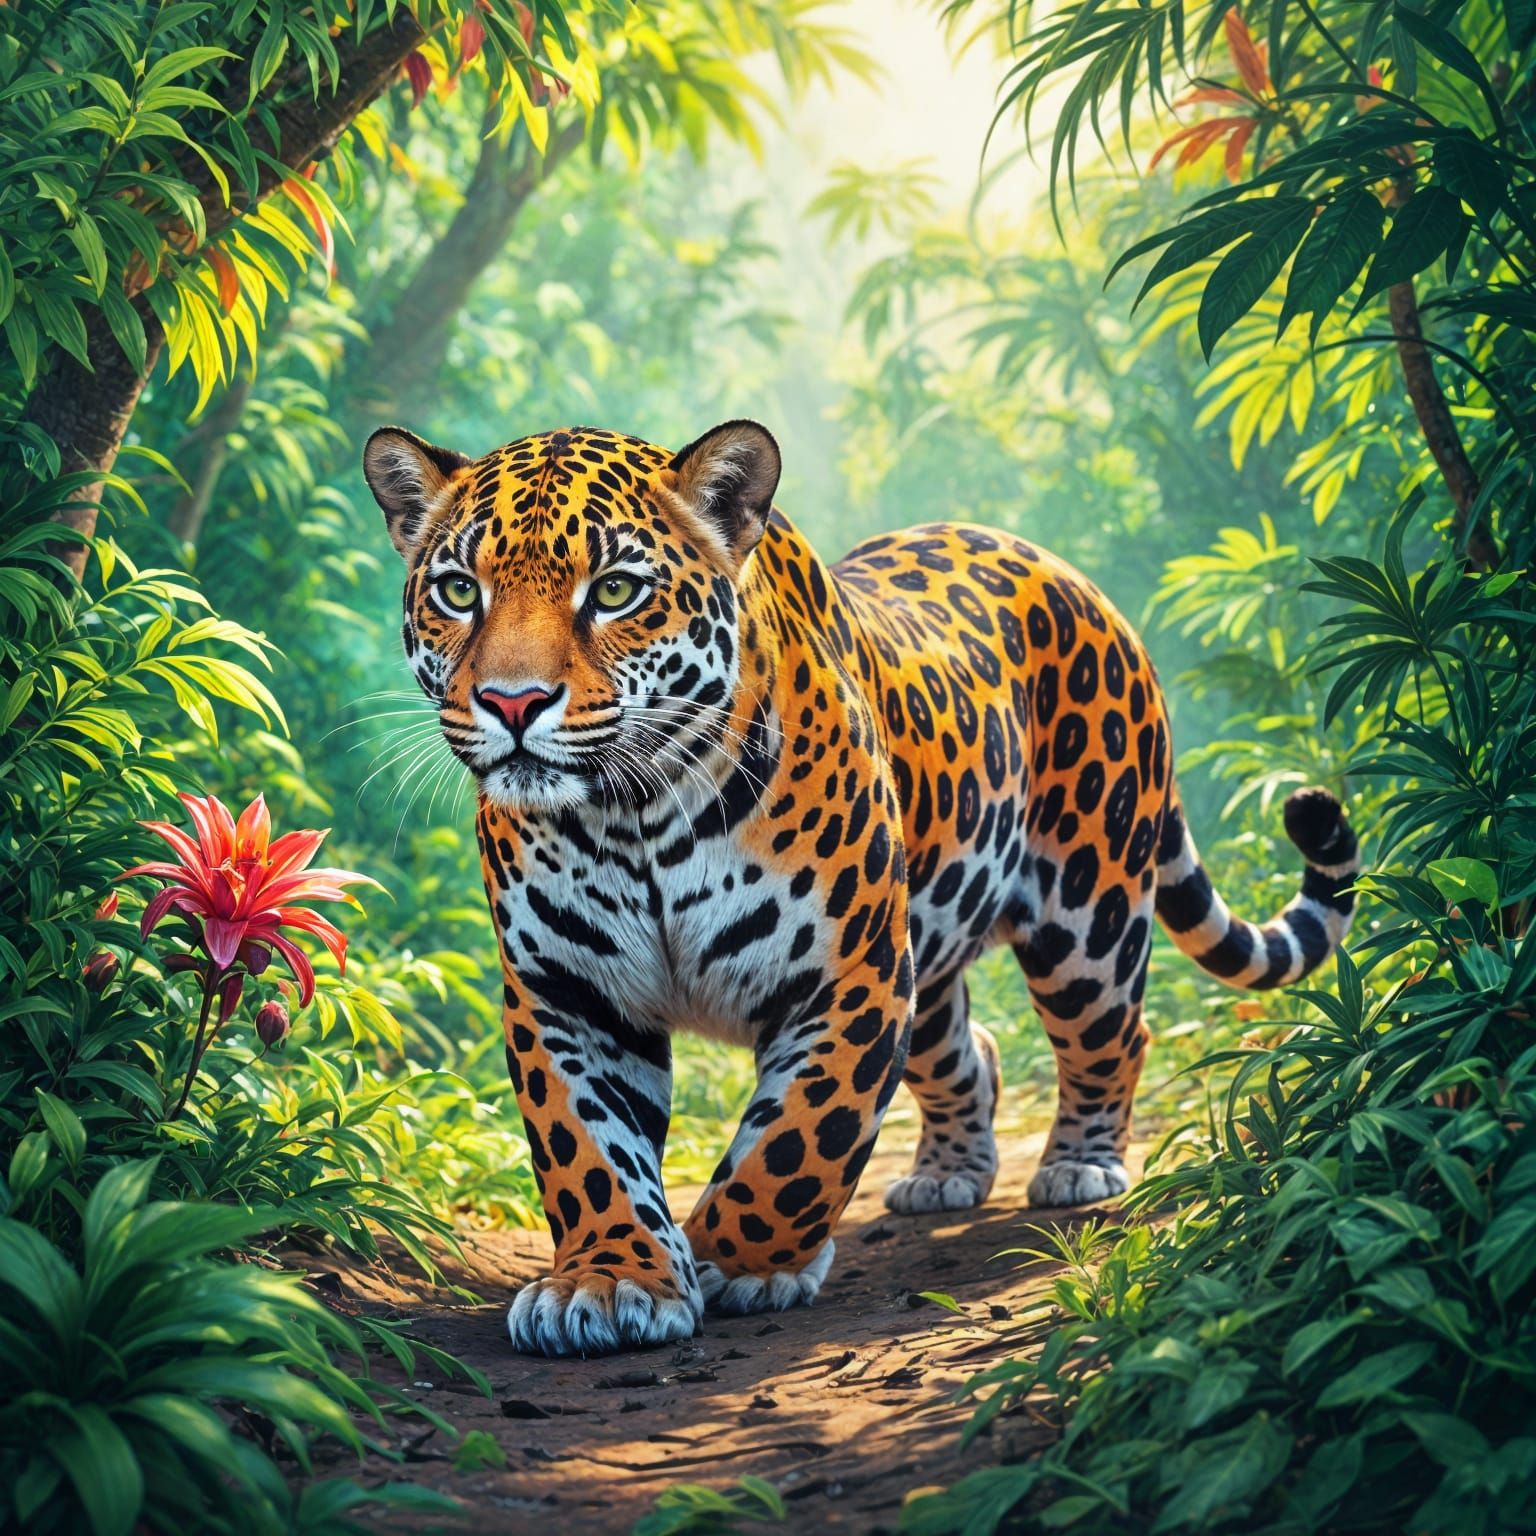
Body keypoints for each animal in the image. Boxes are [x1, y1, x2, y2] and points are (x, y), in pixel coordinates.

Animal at [362, 418, 1359, 1358]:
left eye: (614, 591)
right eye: (458, 591)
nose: (513, 703)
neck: (633, 815)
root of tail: (1070, 573)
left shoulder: (850, 976)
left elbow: (800, 1141)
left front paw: (735, 1262)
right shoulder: (566, 992)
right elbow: (587, 1153)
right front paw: (610, 1282)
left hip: (1088, 909)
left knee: (1114, 1031)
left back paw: (1081, 1166)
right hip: (934, 941)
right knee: (966, 1049)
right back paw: (948, 1172)